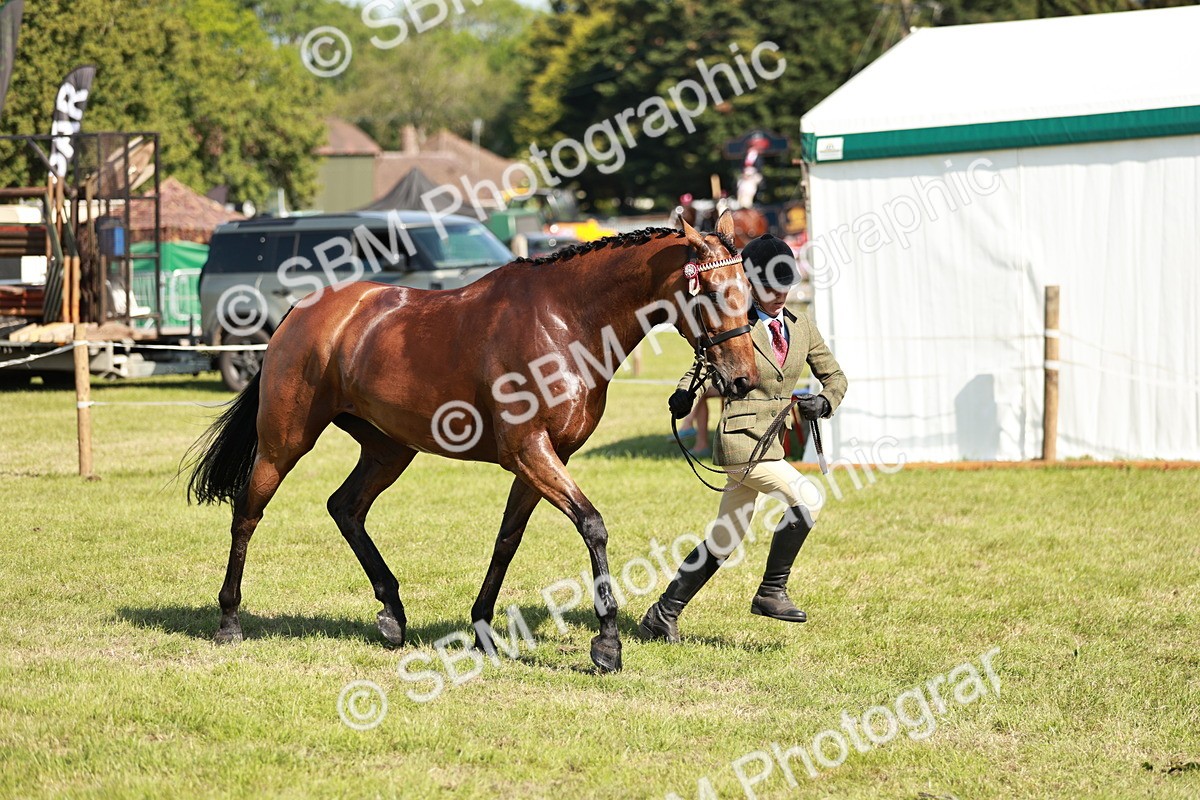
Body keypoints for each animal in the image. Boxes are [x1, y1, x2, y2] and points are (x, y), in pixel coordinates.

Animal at [186, 212, 759, 672]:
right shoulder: (530, 451)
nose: (744, 380)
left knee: (345, 507)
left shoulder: (544, 457)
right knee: (248, 511)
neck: (566, 322)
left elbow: (508, 539)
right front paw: (607, 644)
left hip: (390, 449)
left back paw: (392, 614)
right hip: (284, 441)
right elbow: (592, 526)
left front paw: (482, 629)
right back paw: (230, 619)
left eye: (748, 293)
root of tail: (302, 311)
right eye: (709, 292)